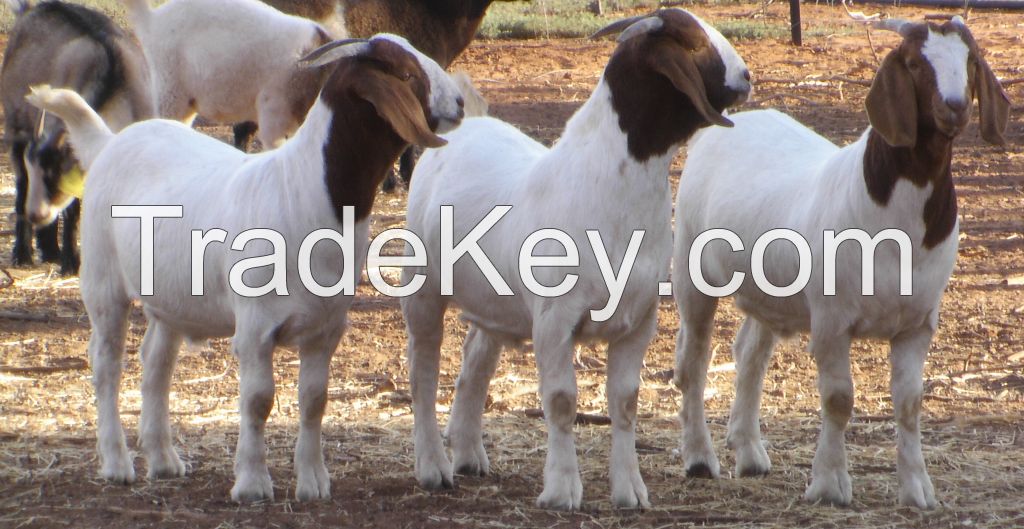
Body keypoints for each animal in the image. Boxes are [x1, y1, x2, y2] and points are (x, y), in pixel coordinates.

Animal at [401, 10, 753, 509]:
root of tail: (466, 129)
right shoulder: (554, 319)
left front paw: (630, 490)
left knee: (475, 363)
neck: (608, 184)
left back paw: (468, 454)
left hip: (495, 302)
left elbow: (625, 402)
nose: (745, 76)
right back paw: (433, 466)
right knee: (424, 370)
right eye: (693, 43)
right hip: (423, 287)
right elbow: (562, 401)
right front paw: (562, 488)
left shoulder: (638, 319)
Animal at [671, 16, 1007, 507]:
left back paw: (750, 452)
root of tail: (732, 123)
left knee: (749, 352)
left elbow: (909, 403)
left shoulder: (918, 324)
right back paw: (699, 458)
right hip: (691, 270)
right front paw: (829, 484)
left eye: (971, 61)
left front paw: (917, 490)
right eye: (913, 63)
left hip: (771, 292)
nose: (955, 107)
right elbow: (838, 400)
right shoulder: (832, 321)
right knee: (693, 360)